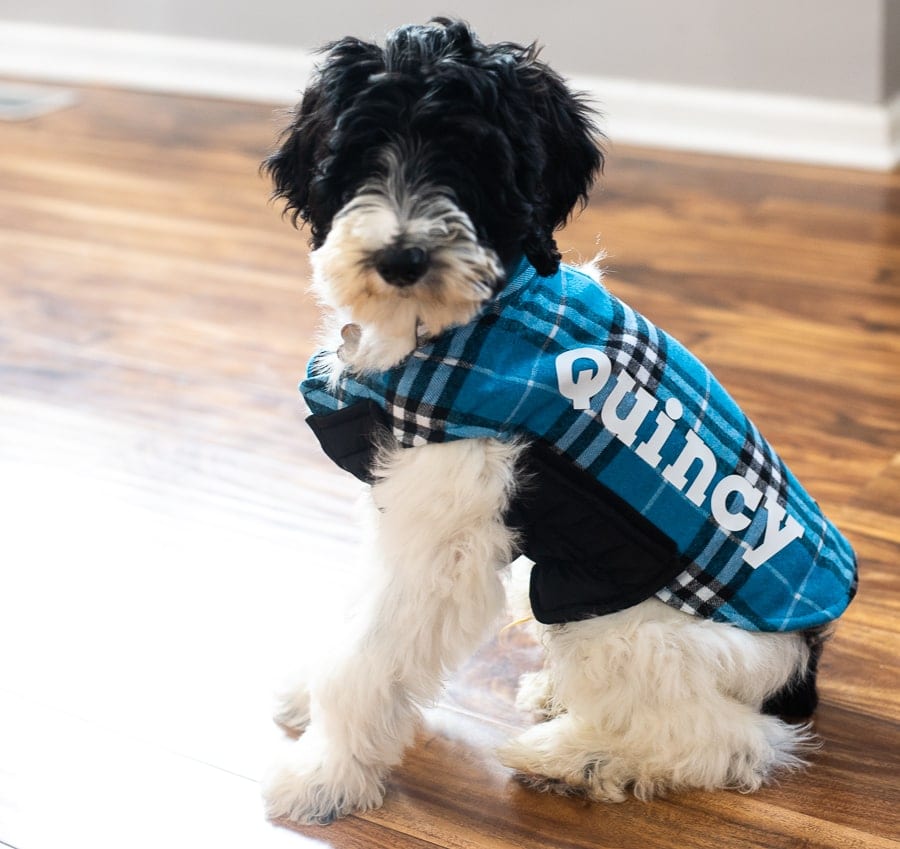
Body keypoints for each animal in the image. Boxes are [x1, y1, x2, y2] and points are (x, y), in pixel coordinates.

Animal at [262, 19, 836, 824]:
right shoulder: (398, 496)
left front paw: (325, 774)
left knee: (735, 742)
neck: (470, 317)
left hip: (620, 625)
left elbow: (369, 655)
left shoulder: (445, 541)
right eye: (358, 157)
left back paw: (576, 758)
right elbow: (356, 617)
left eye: (476, 163)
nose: (402, 258)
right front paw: (310, 701)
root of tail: (804, 660)